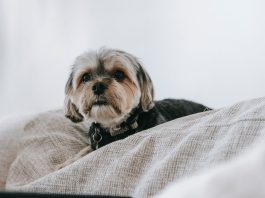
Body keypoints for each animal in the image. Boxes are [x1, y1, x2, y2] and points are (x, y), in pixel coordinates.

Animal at [60, 48, 210, 167]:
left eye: (119, 74)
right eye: (86, 77)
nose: (98, 86)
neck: (115, 127)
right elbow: (84, 151)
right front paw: (66, 163)